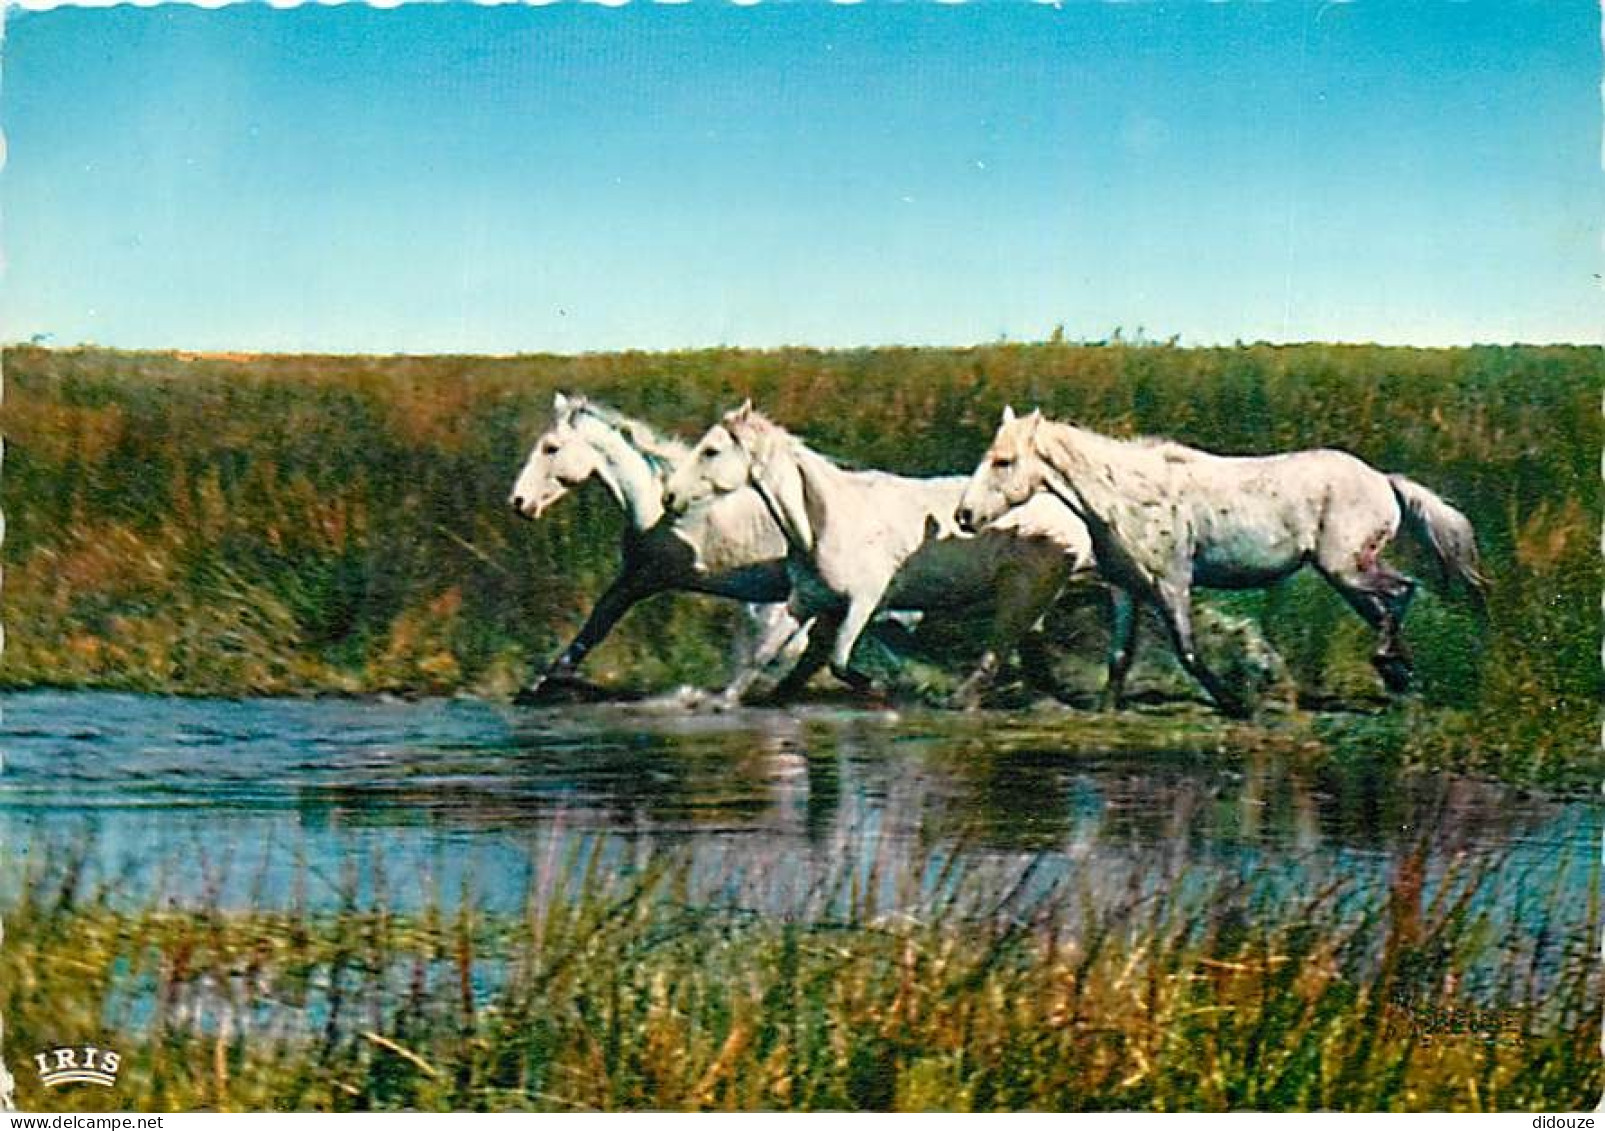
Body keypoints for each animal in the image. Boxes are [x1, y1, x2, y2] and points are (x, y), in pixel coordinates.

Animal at [510, 393, 799, 702]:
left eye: (551, 448)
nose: (518, 501)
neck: (661, 511)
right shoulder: (632, 575)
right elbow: (597, 620)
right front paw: (546, 681)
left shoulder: (649, 578)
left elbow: (599, 621)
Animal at [658, 404, 1097, 705]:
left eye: (711, 451)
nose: (669, 497)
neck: (824, 521)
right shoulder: (806, 601)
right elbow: (761, 655)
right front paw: (722, 701)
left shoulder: (863, 602)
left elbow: (838, 659)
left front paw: (881, 688)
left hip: (1023, 590)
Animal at [943, 405, 1483, 715]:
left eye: (1004, 461)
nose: (965, 515)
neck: (1127, 497)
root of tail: (1383, 480)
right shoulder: (1127, 591)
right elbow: (1119, 657)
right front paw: (1105, 710)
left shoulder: (1173, 583)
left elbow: (1187, 651)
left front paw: (1233, 703)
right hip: (1347, 576)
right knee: (1387, 606)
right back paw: (1400, 677)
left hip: (1347, 567)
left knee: (1404, 590)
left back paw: (1390, 665)